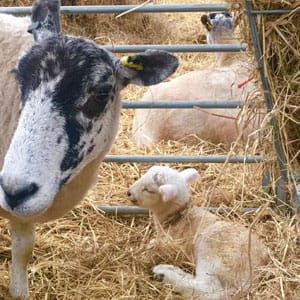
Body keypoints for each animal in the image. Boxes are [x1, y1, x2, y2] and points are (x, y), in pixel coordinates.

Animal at [127, 166, 268, 300]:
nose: (128, 193)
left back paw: (164, 273)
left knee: (207, 289)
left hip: (211, 254)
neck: (176, 217)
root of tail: (252, 276)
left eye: (148, 189)